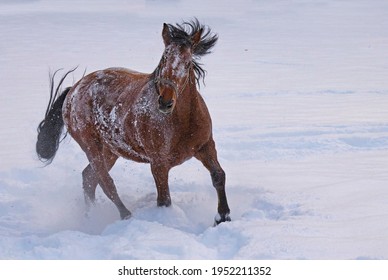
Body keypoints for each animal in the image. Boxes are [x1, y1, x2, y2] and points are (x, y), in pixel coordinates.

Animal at [35, 18, 230, 225]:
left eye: (187, 63)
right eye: (163, 59)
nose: (165, 102)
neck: (184, 122)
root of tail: (73, 90)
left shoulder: (206, 146)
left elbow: (218, 176)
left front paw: (223, 217)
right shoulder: (159, 164)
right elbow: (164, 199)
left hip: (110, 150)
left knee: (89, 178)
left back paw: (89, 216)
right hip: (91, 147)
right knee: (106, 182)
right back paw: (124, 216)